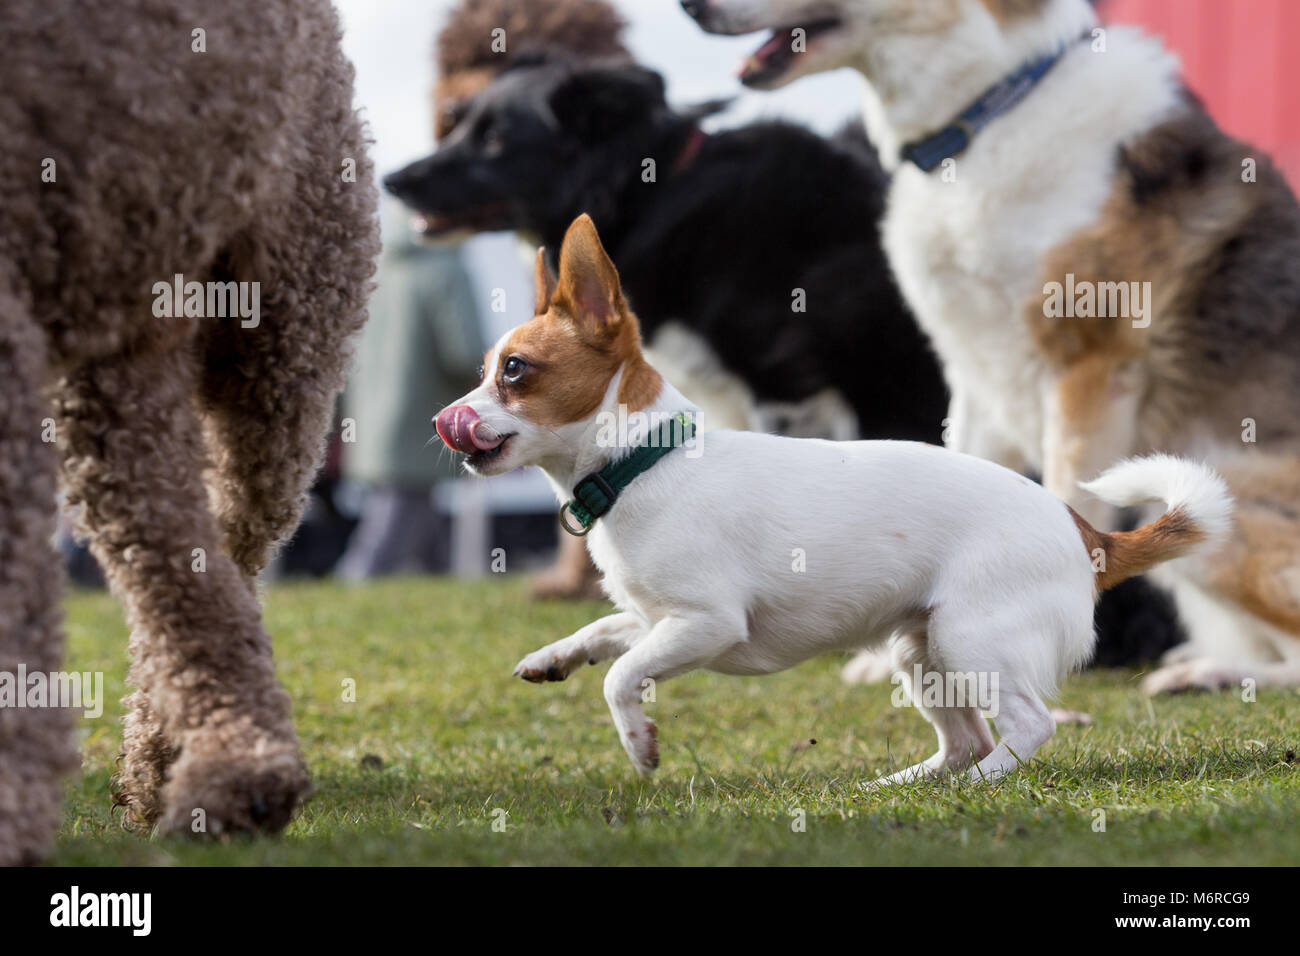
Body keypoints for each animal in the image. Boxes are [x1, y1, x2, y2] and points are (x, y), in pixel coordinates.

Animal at [434, 214, 1227, 785]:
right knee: (965, 740)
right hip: (922, 652)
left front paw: (640, 745)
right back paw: (900, 786)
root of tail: (1089, 534)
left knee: (1029, 727)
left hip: (972, 640)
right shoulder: (659, 620)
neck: (641, 465)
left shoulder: (706, 624)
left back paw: (982, 783)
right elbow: (605, 632)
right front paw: (553, 657)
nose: (446, 419)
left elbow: (622, 677)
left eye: (514, 371)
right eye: (485, 370)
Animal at [686, 0, 1294, 691]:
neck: (989, 112)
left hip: (1218, 524)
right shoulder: (974, 373)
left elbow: (1063, 500)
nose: (688, 9)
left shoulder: (1087, 368)